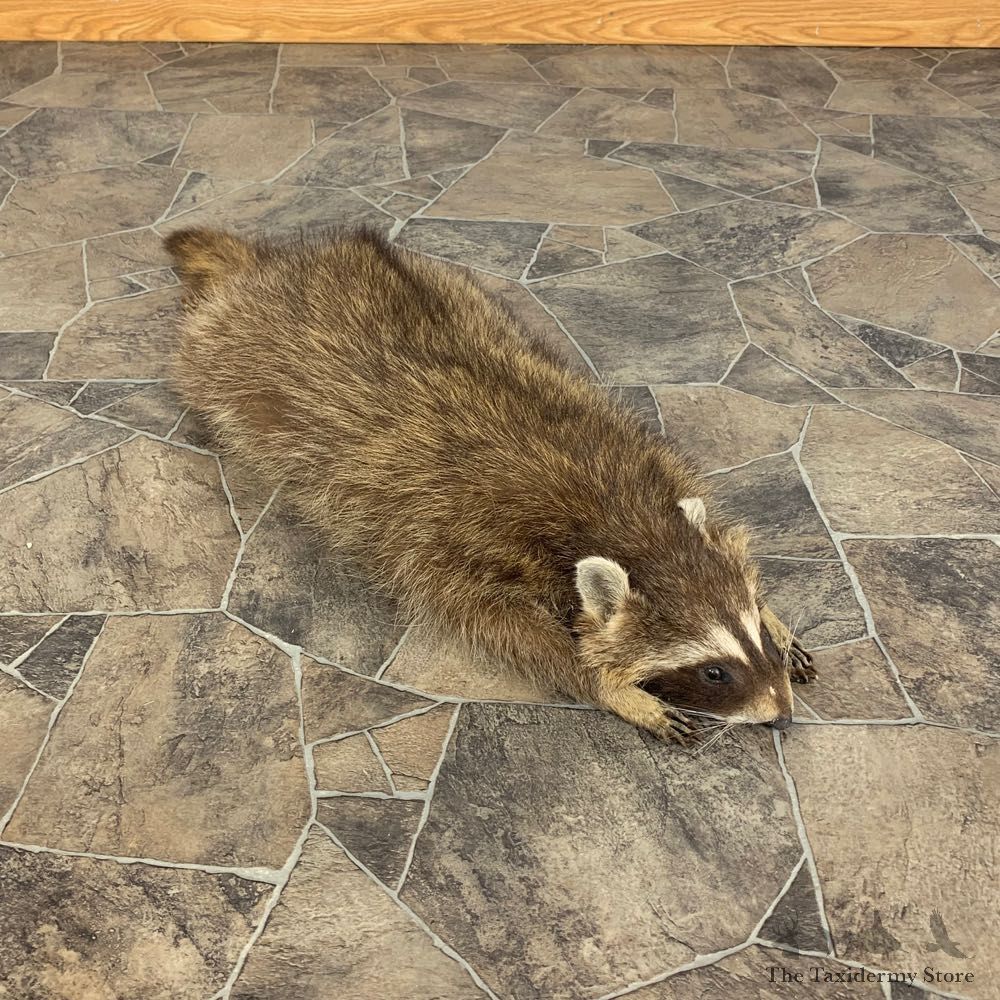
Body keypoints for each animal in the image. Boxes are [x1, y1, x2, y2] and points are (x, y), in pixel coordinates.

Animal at [165, 226, 816, 743]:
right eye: (714, 672)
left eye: (754, 634)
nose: (783, 718)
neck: (631, 525)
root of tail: (263, 268)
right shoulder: (461, 542)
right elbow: (507, 627)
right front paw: (608, 685)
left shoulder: (647, 456)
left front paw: (777, 617)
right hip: (224, 364)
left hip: (447, 285)